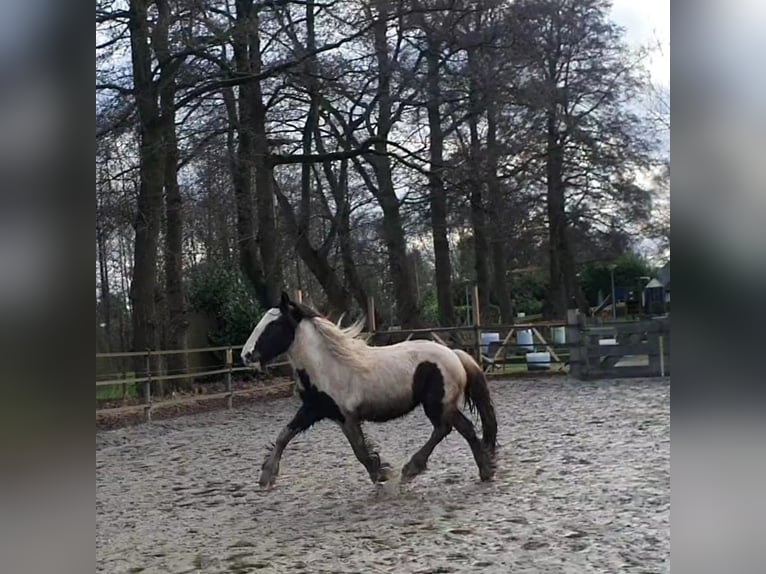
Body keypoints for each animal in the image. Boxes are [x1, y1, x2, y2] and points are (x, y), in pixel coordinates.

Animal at [243, 292, 500, 490]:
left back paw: (411, 469)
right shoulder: (314, 409)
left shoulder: (346, 417)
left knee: (443, 429)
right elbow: (284, 435)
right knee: (465, 428)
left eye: (274, 325)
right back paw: (485, 470)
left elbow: (359, 449)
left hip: (437, 405)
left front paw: (381, 474)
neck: (328, 366)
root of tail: (454, 354)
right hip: (445, 406)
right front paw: (266, 476)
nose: (246, 355)